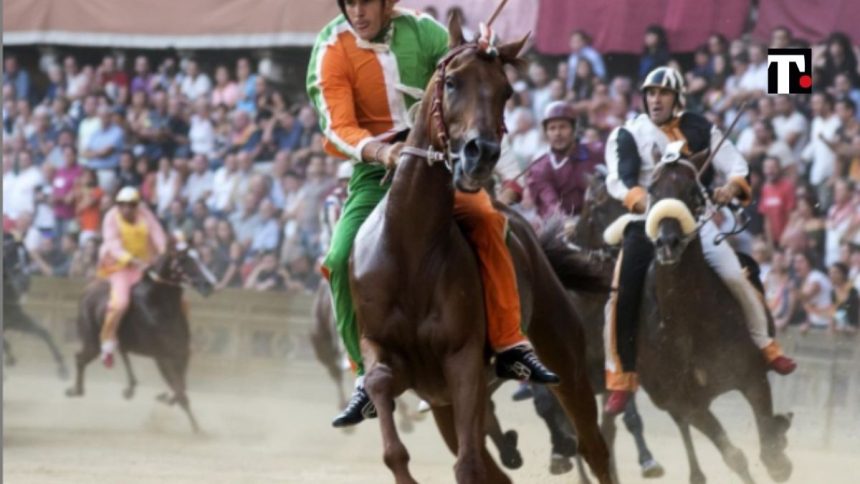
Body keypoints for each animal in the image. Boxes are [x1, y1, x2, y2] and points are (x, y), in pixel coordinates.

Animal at [3, 232, 68, 378]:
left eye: (26, 257)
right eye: (9, 254)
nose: (25, 282)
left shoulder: (15, 318)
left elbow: (43, 332)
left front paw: (62, 367)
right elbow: (5, 343)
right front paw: (10, 361)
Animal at [65, 240, 215, 432]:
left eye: (199, 258)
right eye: (184, 261)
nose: (208, 285)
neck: (160, 306)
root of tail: (88, 290)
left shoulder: (181, 353)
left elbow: (180, 386)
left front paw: (165, 397)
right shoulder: (162, 356)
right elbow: (180, 390)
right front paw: (198, 429)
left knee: (120, 353)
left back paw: (130, 387)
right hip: (93, 341)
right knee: (80, 358)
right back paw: (76, 390)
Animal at [350, 18, 612, 484]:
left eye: (506, 91)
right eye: (452, 82)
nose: (481, 154)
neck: (409, 251)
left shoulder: (464, 362)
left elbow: (468, 464)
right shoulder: (386, 351)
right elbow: (382, 396)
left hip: (565, 354)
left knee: (595, 447)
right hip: (442, 407)